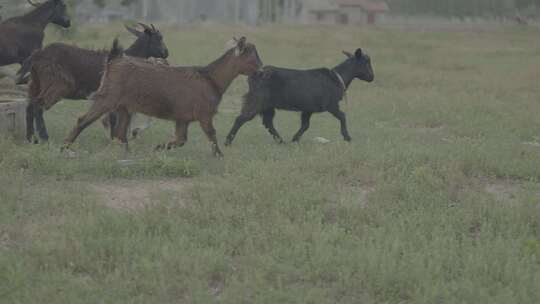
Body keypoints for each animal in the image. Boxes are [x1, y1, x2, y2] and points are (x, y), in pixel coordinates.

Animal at [24, 23, 169, 142]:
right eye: (159, 38)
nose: (166, 53)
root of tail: (37, 56)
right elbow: (113, 118)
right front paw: (114, 138)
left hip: (35, 83)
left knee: (30, 107)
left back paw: (31, 138)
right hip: (58, 85)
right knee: (39, 105)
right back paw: (44, 137)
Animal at [63, 36, 262, 157]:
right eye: (252, 56)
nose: (261, 70)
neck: (211, 78)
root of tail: (113, 60)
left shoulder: (182, 118)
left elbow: (181, 140)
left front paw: (158, 147)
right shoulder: (204, 114)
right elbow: (211, 134)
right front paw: (219, 156)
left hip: (124, 107)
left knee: (120, 133)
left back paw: (128, 153)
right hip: (107, 98)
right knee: (83, 120)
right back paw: (64, 147)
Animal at [226, 48, 374, 145]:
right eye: (366, 62)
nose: (372, 77)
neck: (338, 78)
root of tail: (254, 75)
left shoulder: (308, 109)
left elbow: (305, 125)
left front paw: (295, 139)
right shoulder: (331, 105)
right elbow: (342, 116)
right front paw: (347, 137)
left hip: (267, 105)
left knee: (268, 122)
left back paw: (281, 141)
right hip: (257, 100)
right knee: (241, 118)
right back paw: (228, 141)